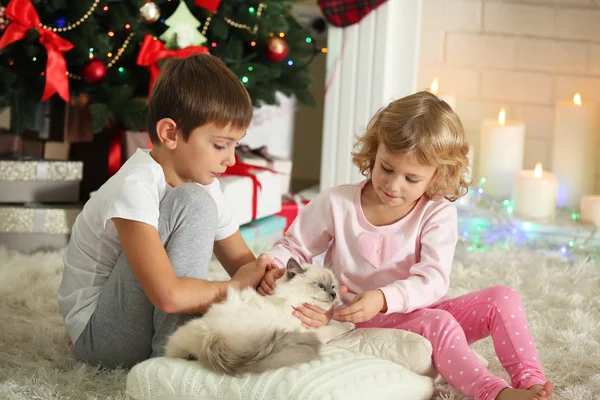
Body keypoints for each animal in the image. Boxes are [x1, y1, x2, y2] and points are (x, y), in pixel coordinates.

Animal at [164, 258, 354, 376]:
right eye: (320, 286)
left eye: (333, 286)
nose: (333, 295)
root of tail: (211, 338)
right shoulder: (312, 330)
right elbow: (337, 326)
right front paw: (350, 324)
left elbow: (334, 321)